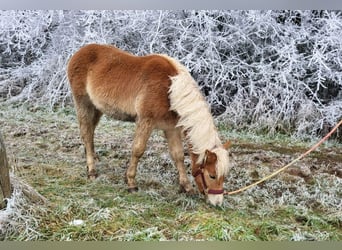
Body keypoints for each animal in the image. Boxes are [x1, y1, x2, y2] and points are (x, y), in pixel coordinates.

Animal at [67, 44, 230, 206]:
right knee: (87, 134)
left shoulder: (171, 128)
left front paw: (187, 187)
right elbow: (138, 150)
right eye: (212, 175)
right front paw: (131, 183)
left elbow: (178, 155)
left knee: (90, 132)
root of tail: (80, 52)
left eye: (223, 176)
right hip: (83, 103)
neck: (170, 90)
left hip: (97, 108)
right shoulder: (145, 121)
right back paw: (92, 171)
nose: (217, 202)